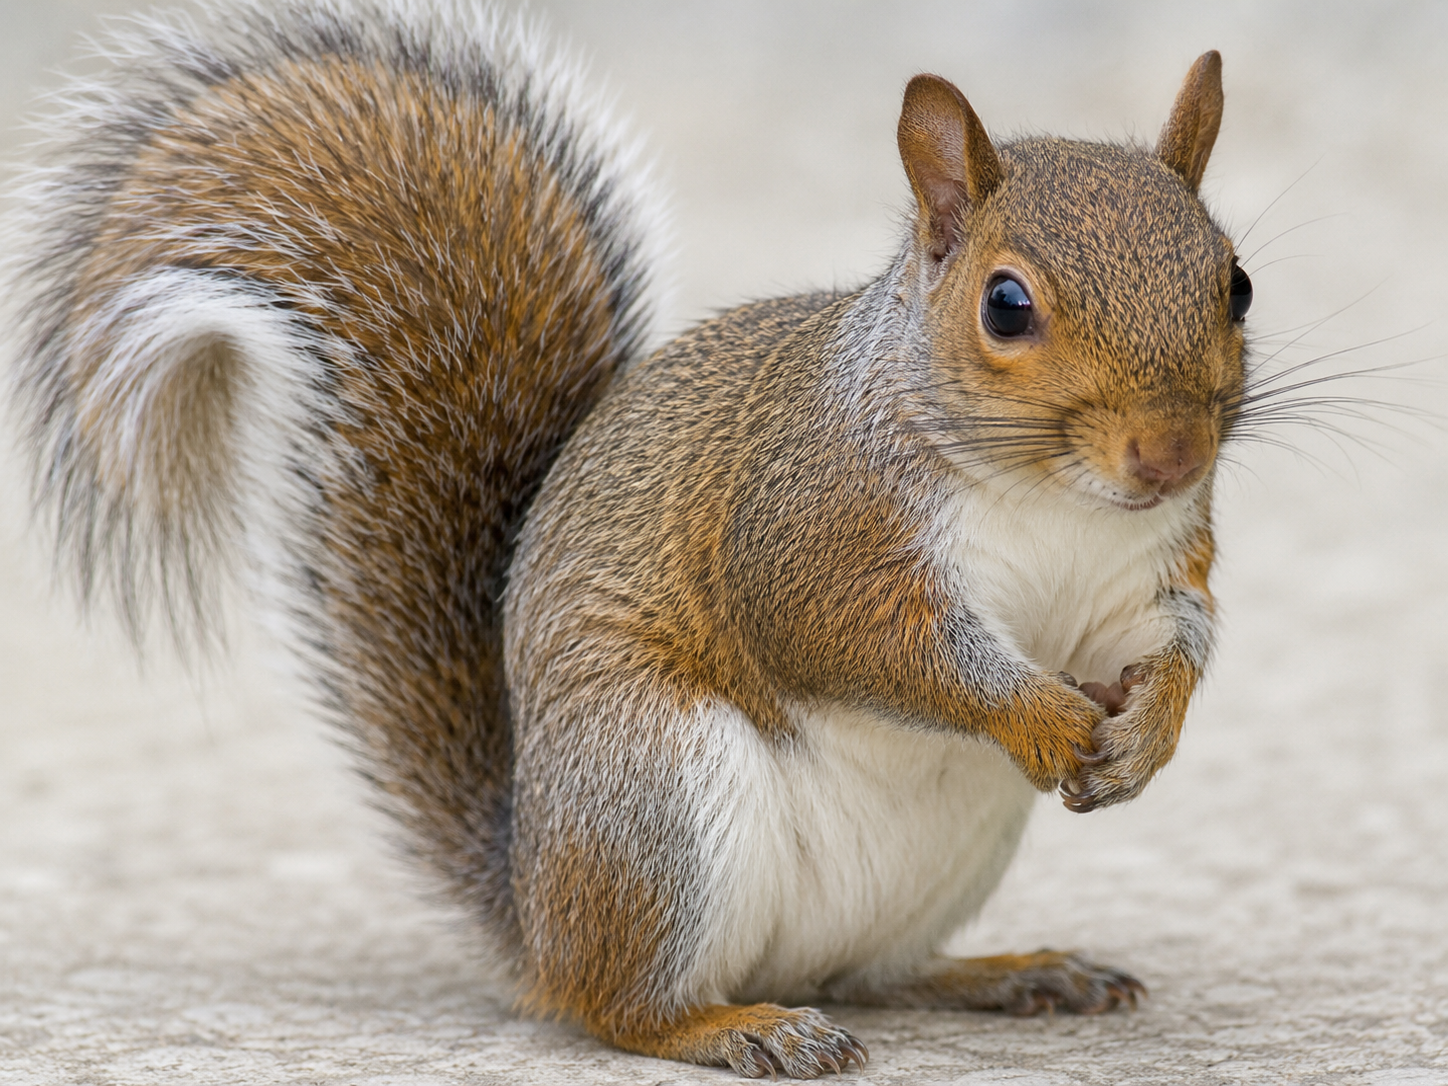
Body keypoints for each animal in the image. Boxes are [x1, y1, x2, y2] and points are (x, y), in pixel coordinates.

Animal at [5, 0, 1251, 1078]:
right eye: (1004, 305)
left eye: (1233, 281)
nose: (1165, 455)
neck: (1055, 501)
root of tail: (534, 910)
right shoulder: (804, 531)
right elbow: (865, 642)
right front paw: (1039, 714)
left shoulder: (1144, 575)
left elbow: (1179, 637)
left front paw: (1151, 733)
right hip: (652, 789)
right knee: (619, 1007)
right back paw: (738, 1027)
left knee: (869, 972)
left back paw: (1011, 972)